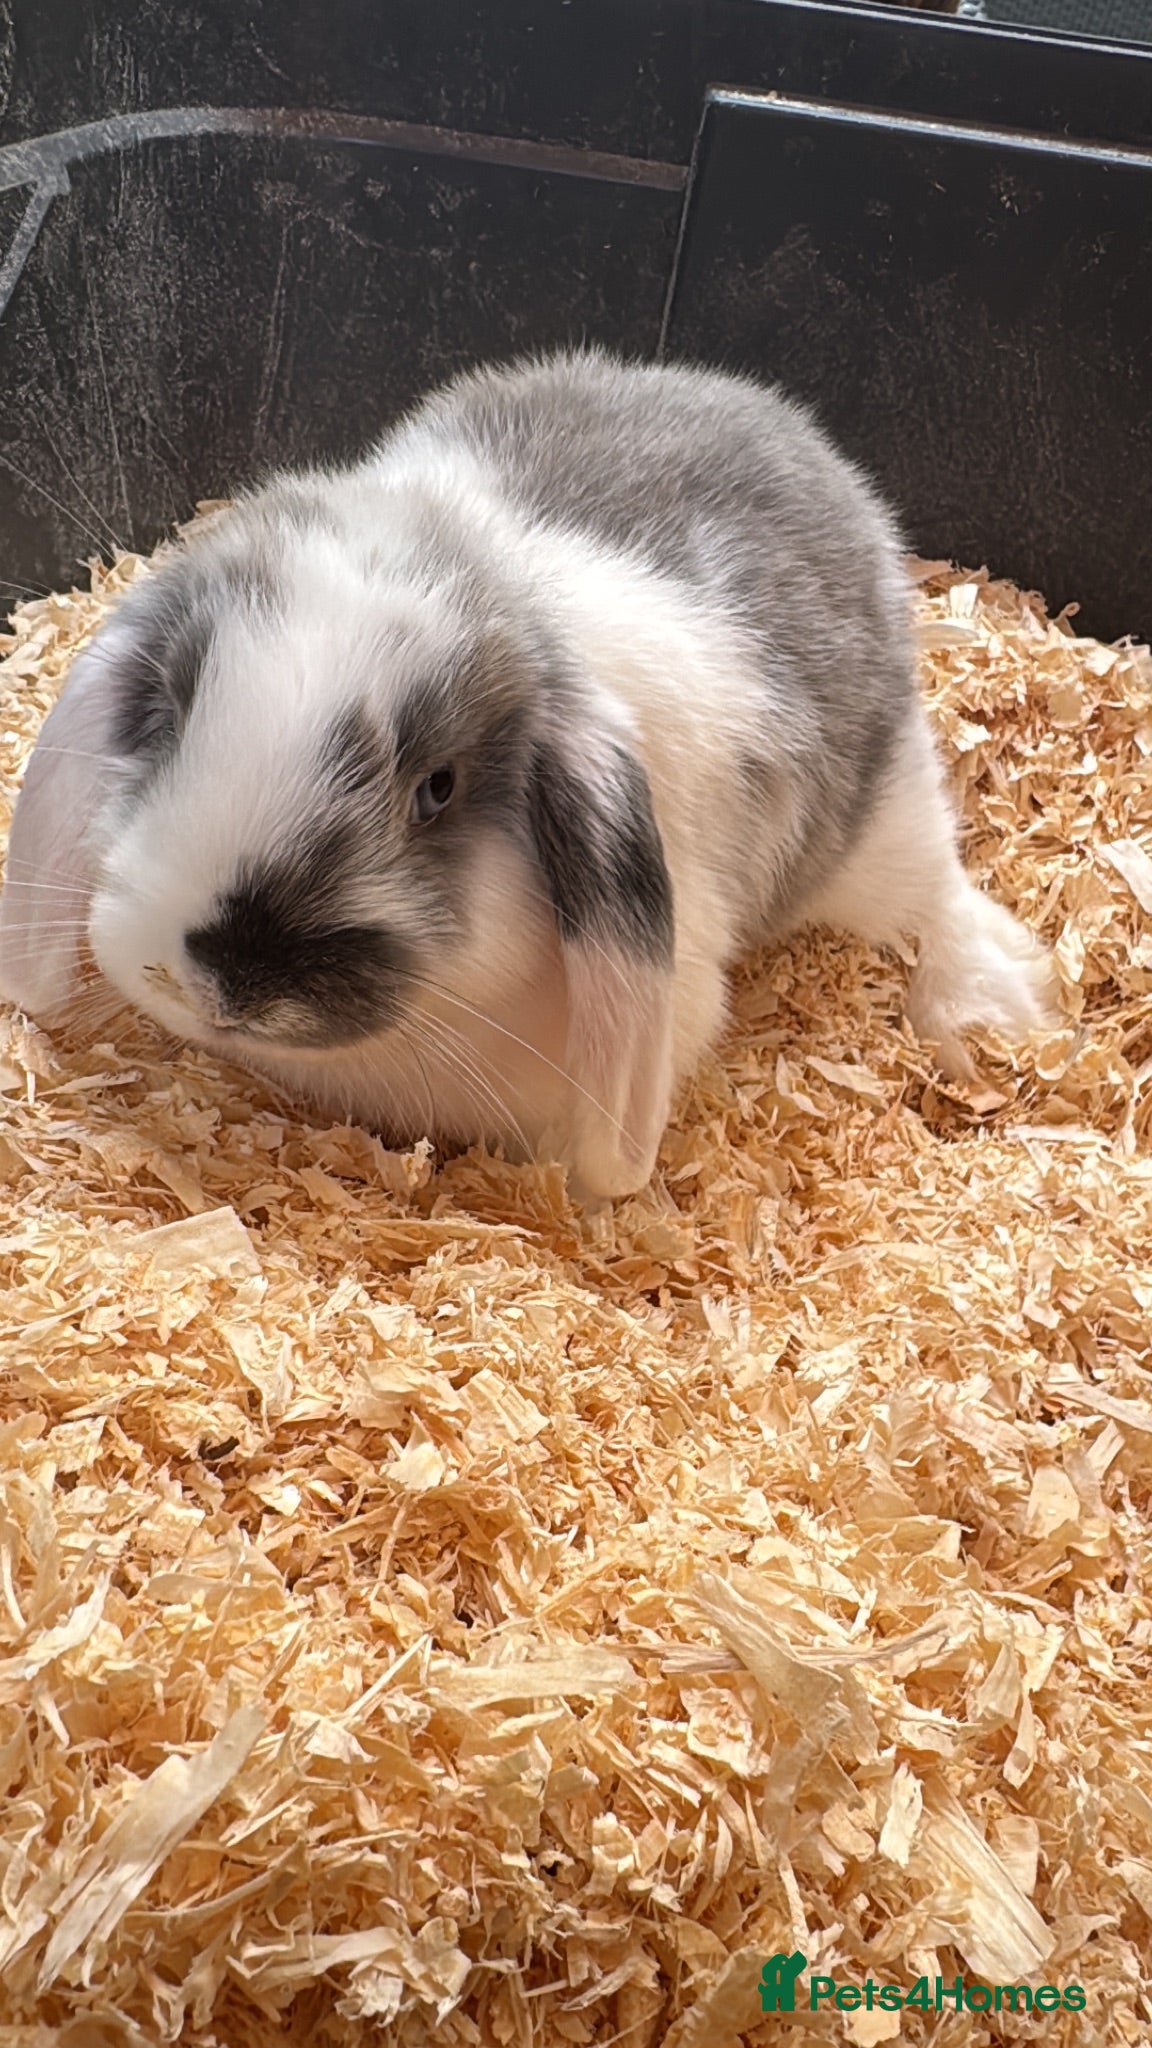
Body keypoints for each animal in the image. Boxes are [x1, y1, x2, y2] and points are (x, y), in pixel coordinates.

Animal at [0, 349, 1055, 1201]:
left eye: (438, 787)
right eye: (175, 710)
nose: (224, 981)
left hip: (885, 823)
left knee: (936, 902)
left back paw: (999, 1006)